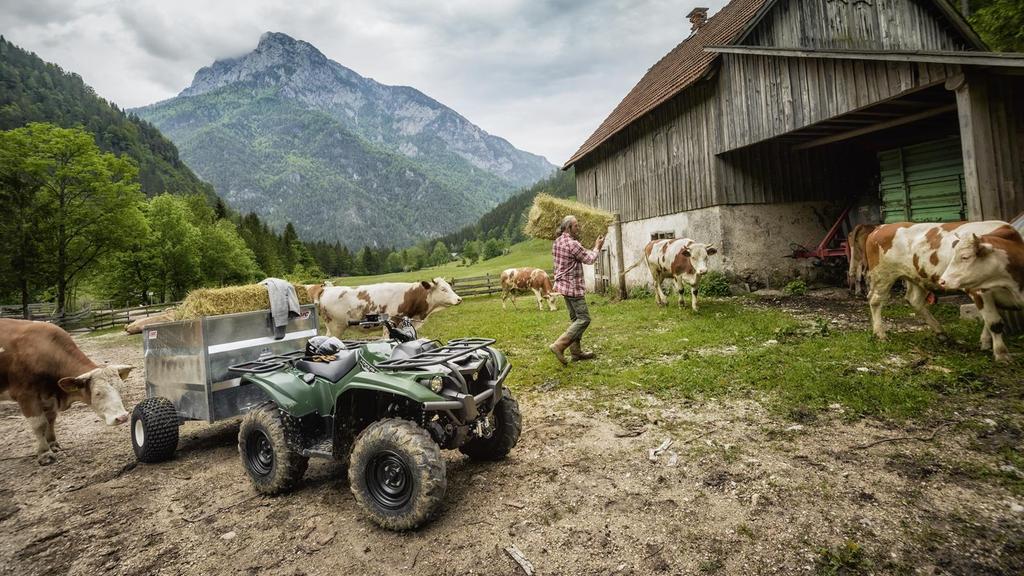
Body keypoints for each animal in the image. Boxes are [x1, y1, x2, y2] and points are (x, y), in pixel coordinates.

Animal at [0, 315, 132, 463]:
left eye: (121, 389)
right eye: (98, 393)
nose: (122, 417)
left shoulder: (49, 397)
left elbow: (50, 420)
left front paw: (53, 444)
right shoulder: (26, 396)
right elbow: (39, 424)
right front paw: (45, 453)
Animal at [307, 278, 460, 336]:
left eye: (449, 286)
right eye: (443, 289)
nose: (459, 299)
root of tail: (325, 289)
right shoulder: (391, 323)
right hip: (336, 327)